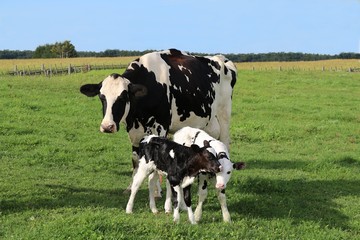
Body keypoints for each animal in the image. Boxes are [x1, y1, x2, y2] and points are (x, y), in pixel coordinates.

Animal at [79, 48, 236, 191]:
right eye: (102, 97)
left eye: (123, 97)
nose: (107, 126)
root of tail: (221, 58)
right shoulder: (134, 131)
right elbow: (135, 159)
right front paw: (131, 187)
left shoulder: (161, 126)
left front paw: (156, 191)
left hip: (224, 114)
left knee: (225, 143)